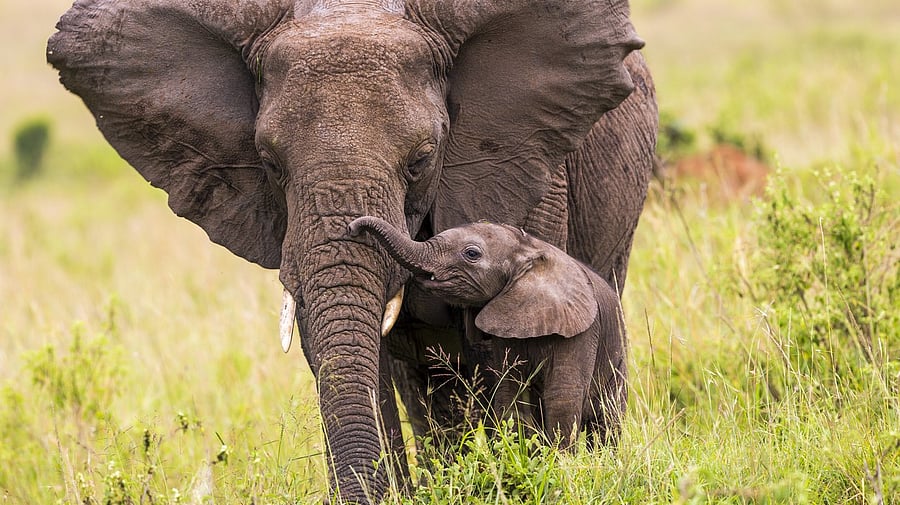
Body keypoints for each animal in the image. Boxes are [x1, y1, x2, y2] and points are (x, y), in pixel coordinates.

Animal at [349, 216, 627, 448]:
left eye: (471, 253)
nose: (352, 228)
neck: (529, 250)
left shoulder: (580, 333)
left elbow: (562, 398)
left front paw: (559, 462)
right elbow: (509, 391)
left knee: (607, 420)